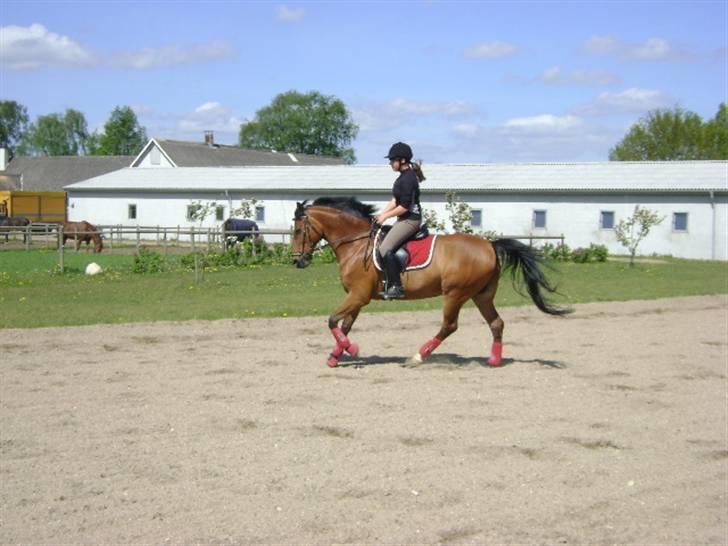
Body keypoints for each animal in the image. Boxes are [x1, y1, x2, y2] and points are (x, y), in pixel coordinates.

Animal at [290, 198, 568, 368]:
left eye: (298, 230)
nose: (297, 261)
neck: (356, 244)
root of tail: (489, 244)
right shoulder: (357, 297)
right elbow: (344, 325)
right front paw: (336, 356)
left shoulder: (358, 296)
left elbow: (332, 321)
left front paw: (352, 350)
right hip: (481, 295)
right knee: (496, 323)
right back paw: (494, 360)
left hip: (455, 293)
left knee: (449, 325)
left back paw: (418, 356)